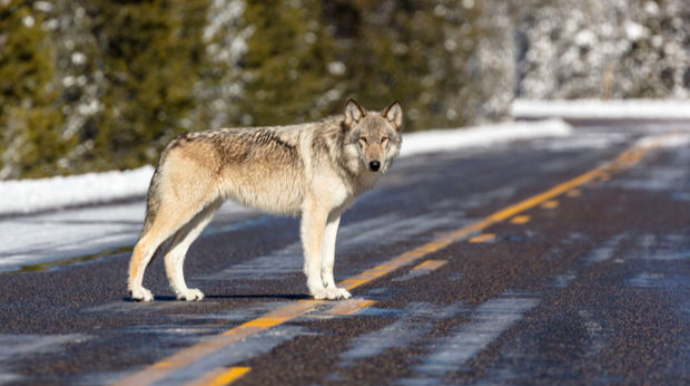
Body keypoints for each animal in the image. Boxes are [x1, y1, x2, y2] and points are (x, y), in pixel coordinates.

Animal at [127, 99, 404, 302]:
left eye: (383, 139)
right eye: (363, 139)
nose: (375, 164)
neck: (336, 153)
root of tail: (172, 142)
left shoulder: (334, 216)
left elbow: (328, 260)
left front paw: (333, 290)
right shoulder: (314, 213)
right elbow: (314, 260)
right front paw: (319, 292)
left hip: (200, 218)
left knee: (171, 254)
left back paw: (185, 294)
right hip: (181, 214)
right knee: (143, 245)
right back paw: (138, 293)